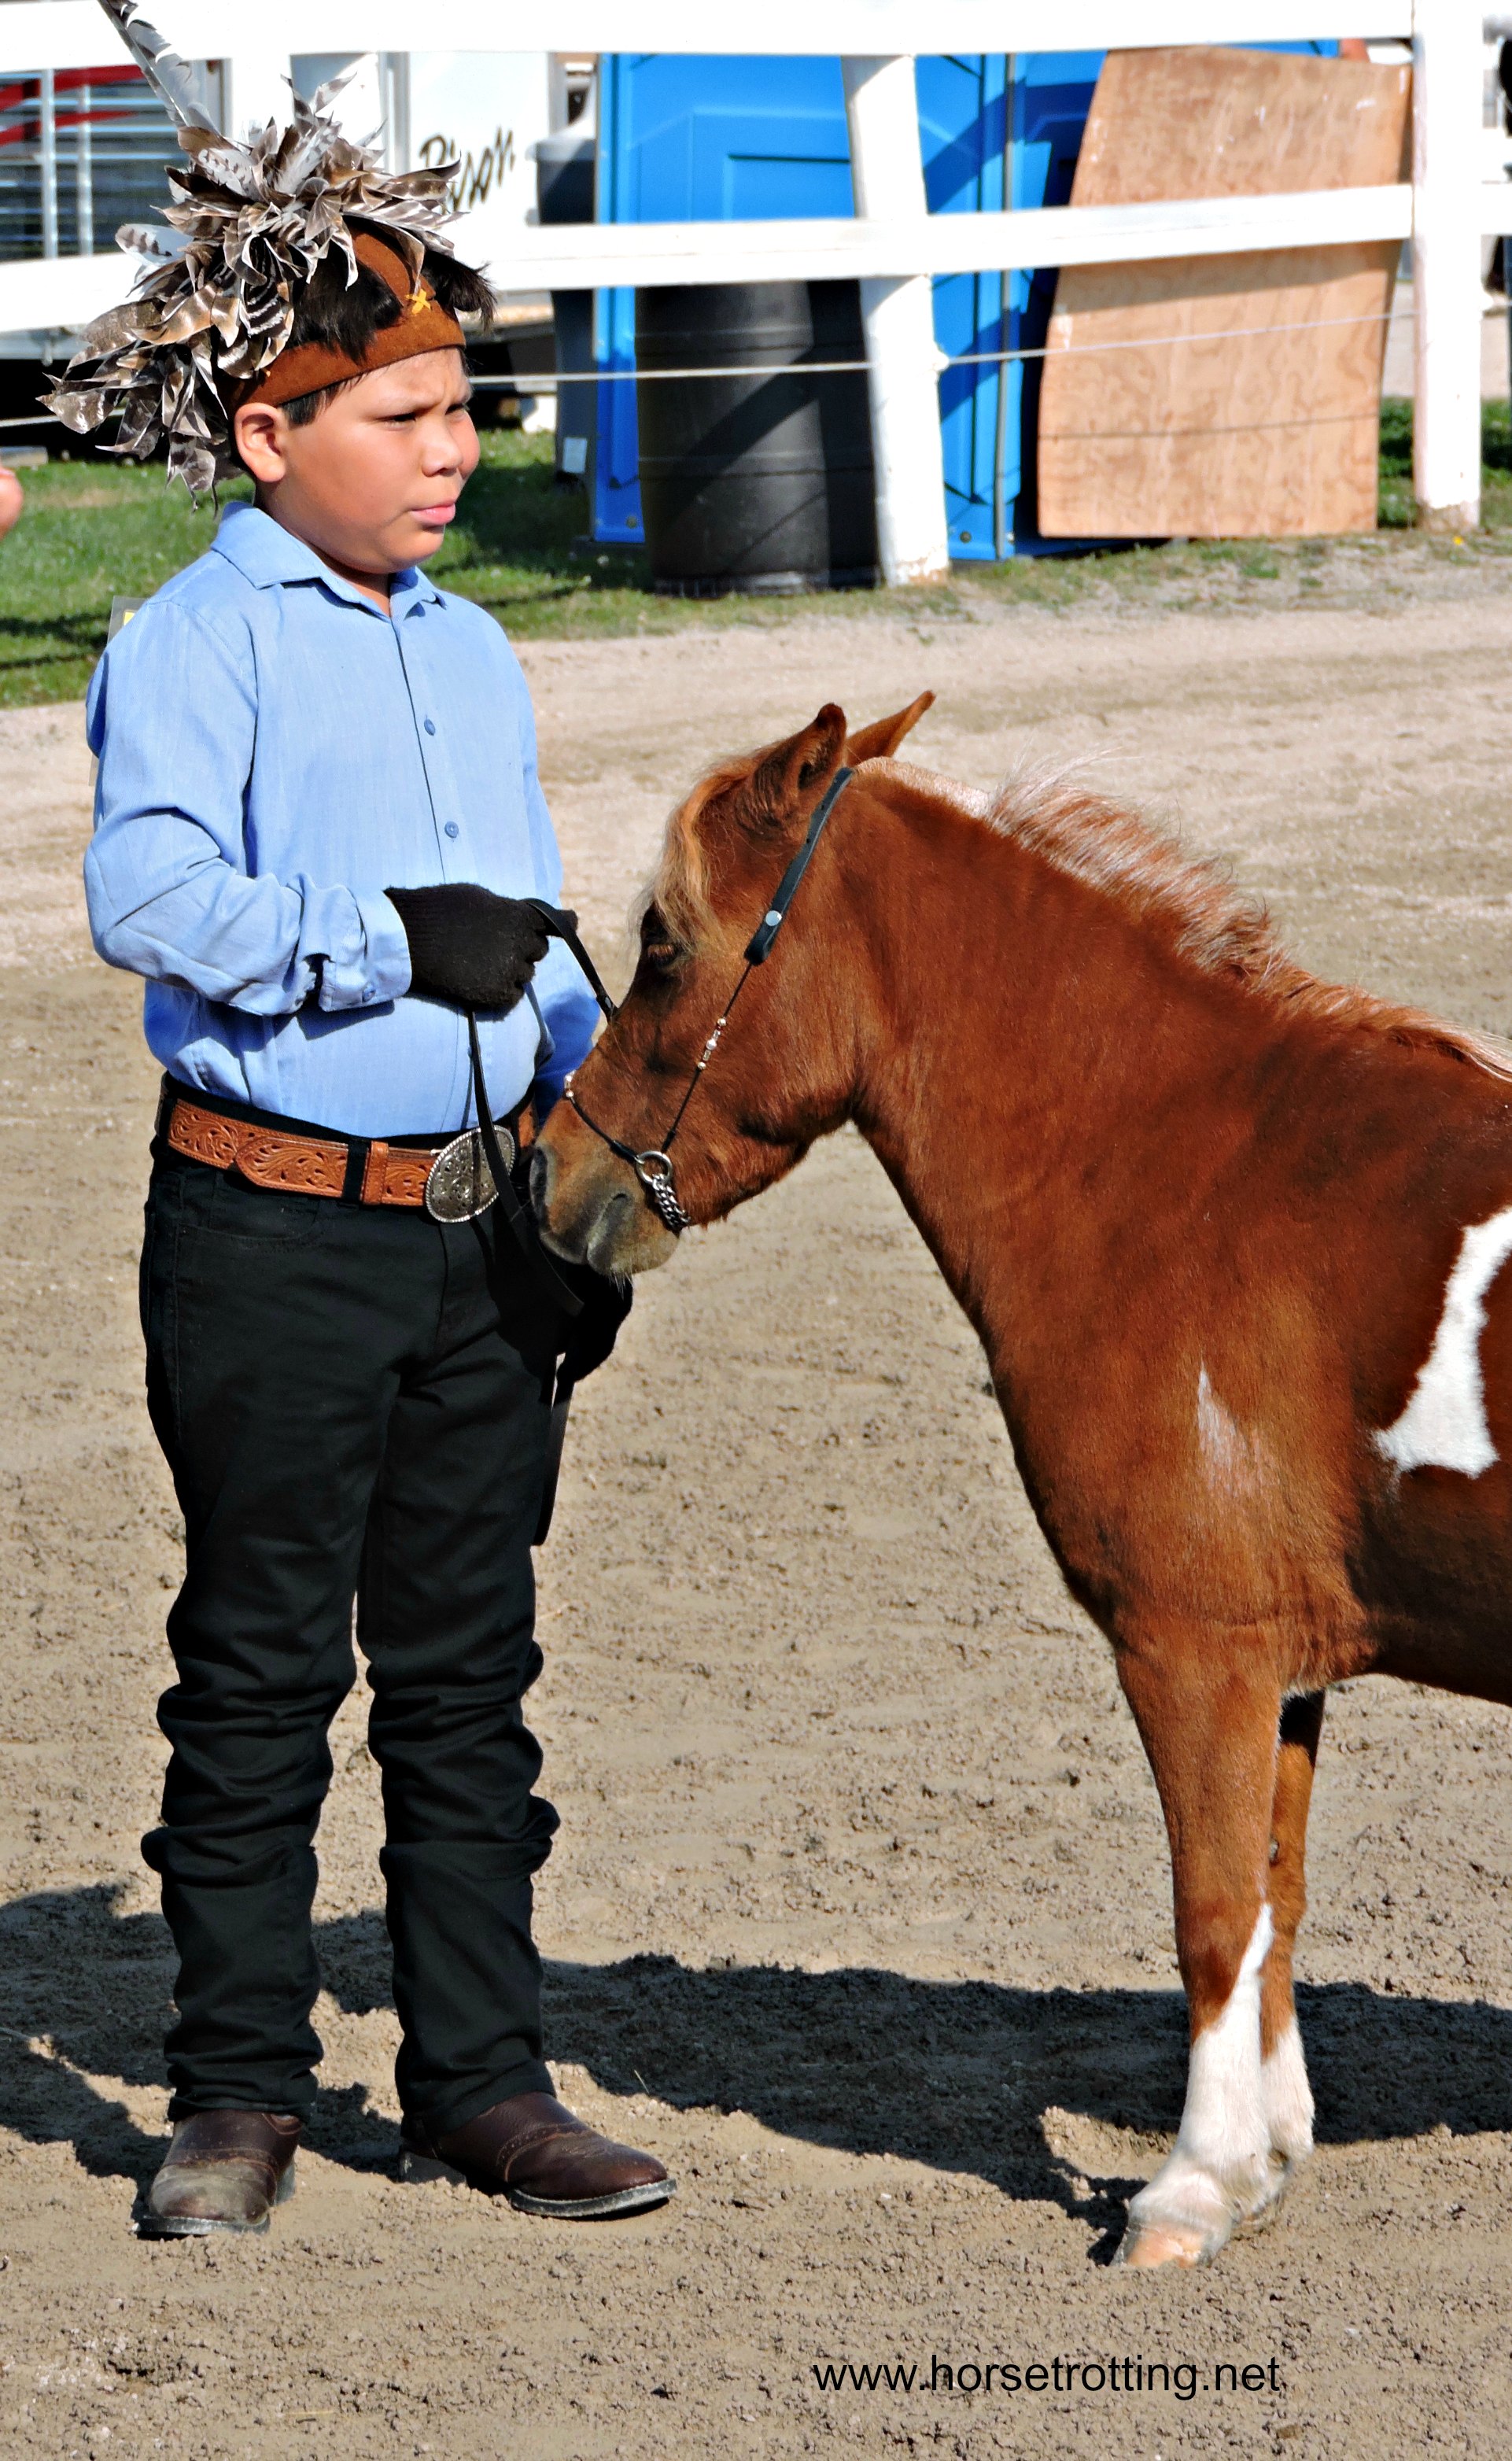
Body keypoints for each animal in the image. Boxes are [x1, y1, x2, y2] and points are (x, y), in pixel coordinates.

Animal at [530, 693, 1512, 2269]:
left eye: (663, 943)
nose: (554, 1176)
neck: (1188, 1172)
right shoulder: (1283, 1667)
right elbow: (1276, 1901)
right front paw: (1265, 2159)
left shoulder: (1193, 1652)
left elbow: (1211, 1913)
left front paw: (1187, 2189)